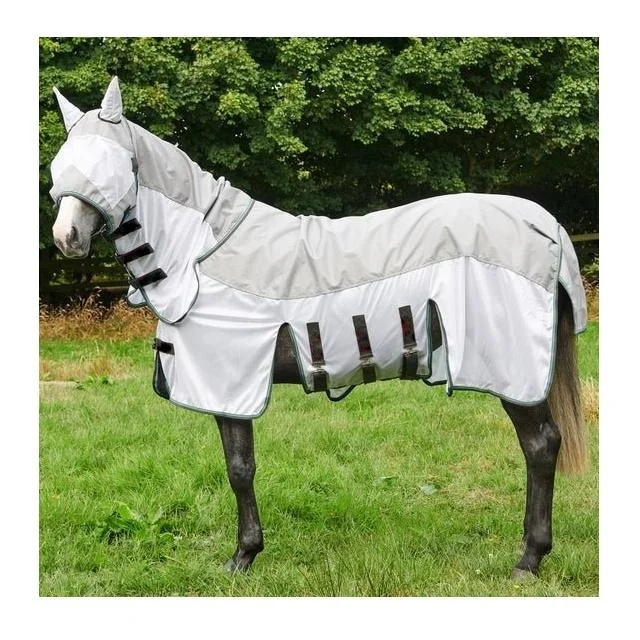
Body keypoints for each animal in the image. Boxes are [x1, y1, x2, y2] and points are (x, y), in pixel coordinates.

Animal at [48, 77, 588, 579]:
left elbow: (239, 468)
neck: (200, 253)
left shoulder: (230, 383)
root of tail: (547, 225)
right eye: (60, 165)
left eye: (114, 164)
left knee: (541, 446)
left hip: (513, 370)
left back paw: (529, 559)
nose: (66, 238)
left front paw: (243, 556)